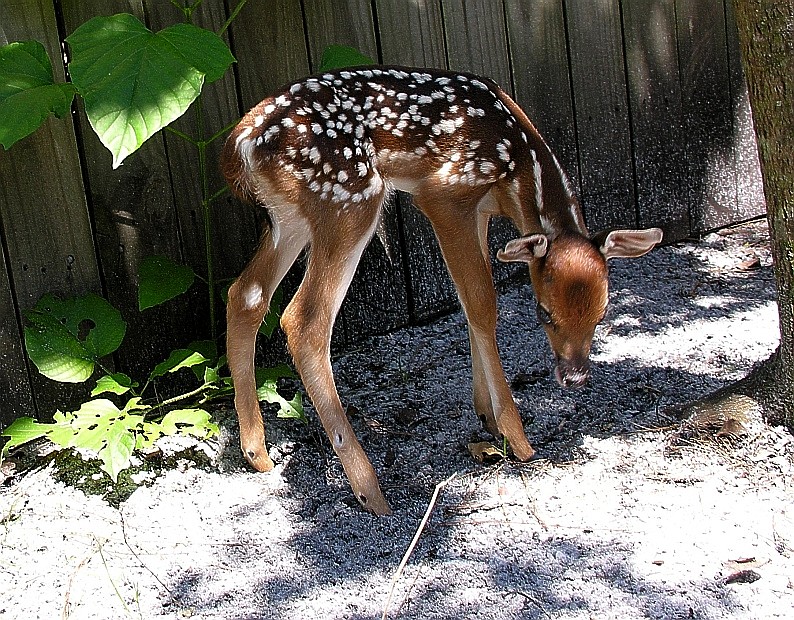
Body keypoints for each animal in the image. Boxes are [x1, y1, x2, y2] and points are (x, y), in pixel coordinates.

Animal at [221, 66, 663, 515]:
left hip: (291, 216)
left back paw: (257, 453)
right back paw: (370, 489)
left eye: (602, 313)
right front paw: (516, 437)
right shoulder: (445, 195)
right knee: (304, 320)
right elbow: (483, 303)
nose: (574, 376)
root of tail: (241, 142)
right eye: (543, 313)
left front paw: (486, 415)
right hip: (348, 199)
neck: (518, 167)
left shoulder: (480, 212)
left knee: (246, 295)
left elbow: (470, 304)